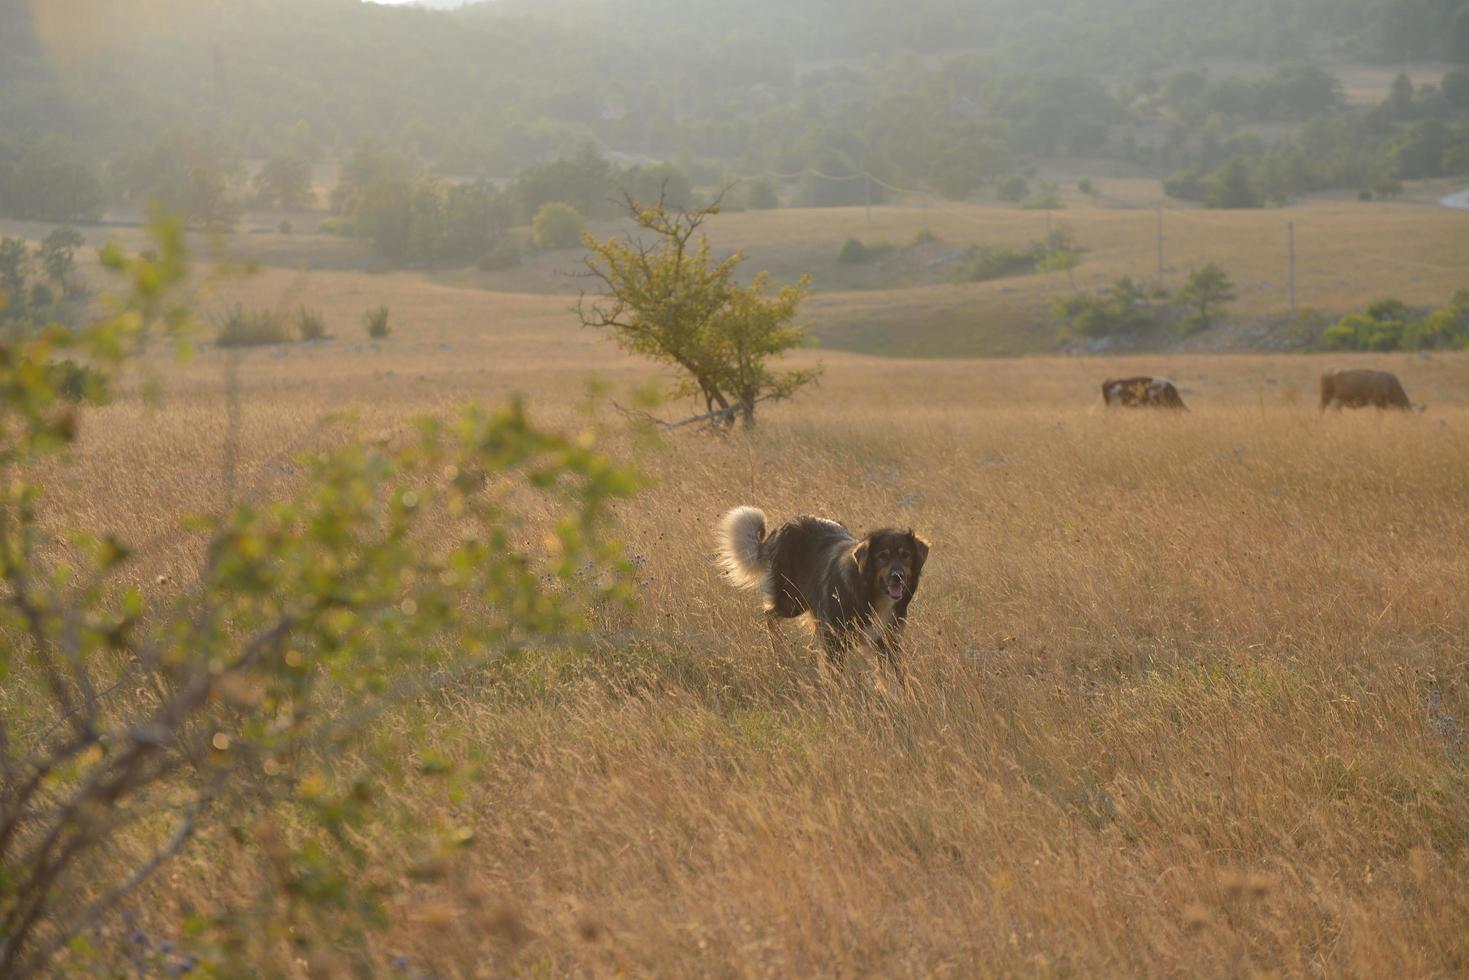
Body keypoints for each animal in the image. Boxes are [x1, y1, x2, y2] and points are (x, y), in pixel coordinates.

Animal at [710, 505, 928, 675]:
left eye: (906, 555)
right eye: (882, 556)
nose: (897, 576)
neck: (869, 591)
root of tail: (785, 526)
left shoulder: (888, 640)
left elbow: (894, 677)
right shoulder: (834, 640)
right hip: (793, 601)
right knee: (770, 614)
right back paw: (781, 656)